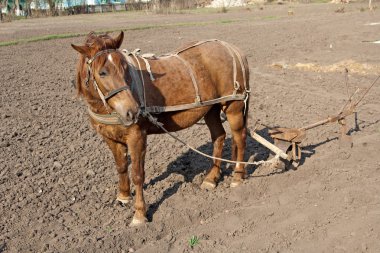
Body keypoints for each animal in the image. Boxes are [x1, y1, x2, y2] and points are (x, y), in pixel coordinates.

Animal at [72, 30, 249, 226]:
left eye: (125, 69)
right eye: (102, 72)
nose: (132, 111)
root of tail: (233, 49)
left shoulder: (137, 137)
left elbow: (137, 174)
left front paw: (139, 214)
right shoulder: (110, 138)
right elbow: (121, 167)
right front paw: (123, 196)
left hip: (233, 107)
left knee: (240, 138)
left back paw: (238, 176)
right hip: (211, 109)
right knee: (219, 136)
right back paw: (211, 178)